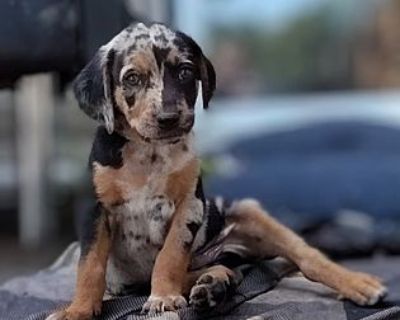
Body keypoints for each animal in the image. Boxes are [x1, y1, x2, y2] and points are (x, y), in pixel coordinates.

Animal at [45, 21, 386, 318]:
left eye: (185, 71)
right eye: (132, 78)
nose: (169, 118)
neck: (148, 154)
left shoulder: (189, 205)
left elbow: (170, 256)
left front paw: (164, 296)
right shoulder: (96, 209)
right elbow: (90, 265)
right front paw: (78, 309)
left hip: (250, 213)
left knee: (306, 257)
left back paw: (357, 283)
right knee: (221, 272)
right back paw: (214, 284)